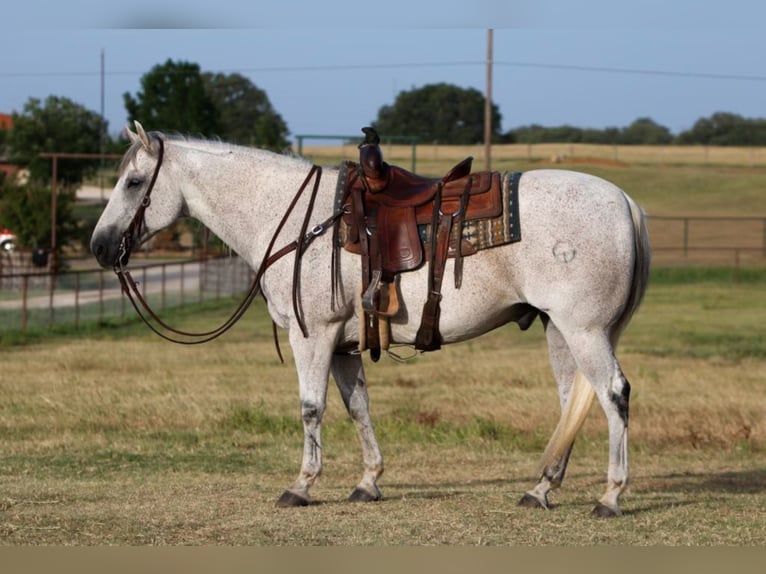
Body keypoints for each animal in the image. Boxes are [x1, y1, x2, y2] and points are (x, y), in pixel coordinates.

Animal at [93, 121, 652, 516]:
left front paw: (301, 485)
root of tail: (626, 201)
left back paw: (610, 496)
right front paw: (368, 482)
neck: (295, 220)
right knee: (573, 401)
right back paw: (540, 489)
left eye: (135, 182)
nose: (100, 247)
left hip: (584, 331)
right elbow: (357, 407)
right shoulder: (344, 344)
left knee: (613, 394)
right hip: (559, 330)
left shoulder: (313, 335)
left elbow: (311, 408)